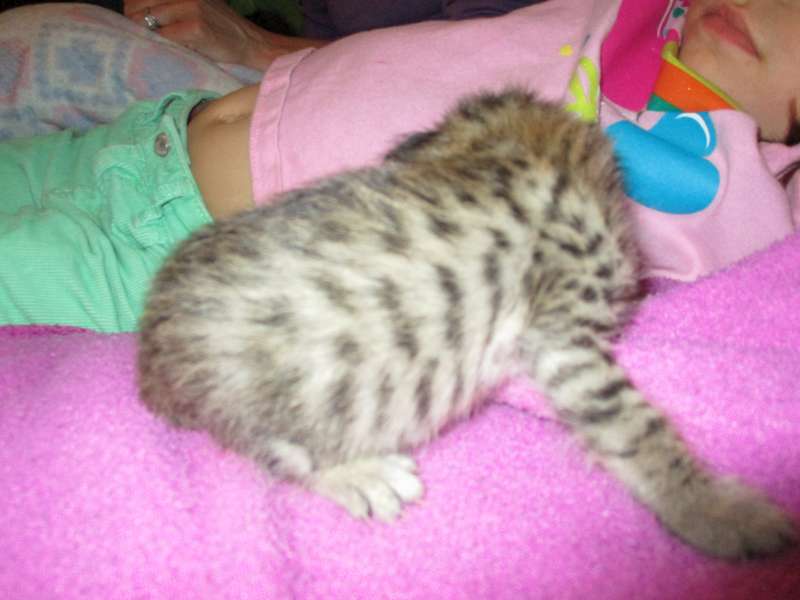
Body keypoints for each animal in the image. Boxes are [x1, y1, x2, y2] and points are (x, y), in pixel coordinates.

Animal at [138, 88, 796, 560]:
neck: (510, 148)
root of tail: (149, 354)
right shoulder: (566, 339)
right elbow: (639, 432)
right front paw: (720, 515)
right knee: (282, 455)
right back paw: (363, 475)